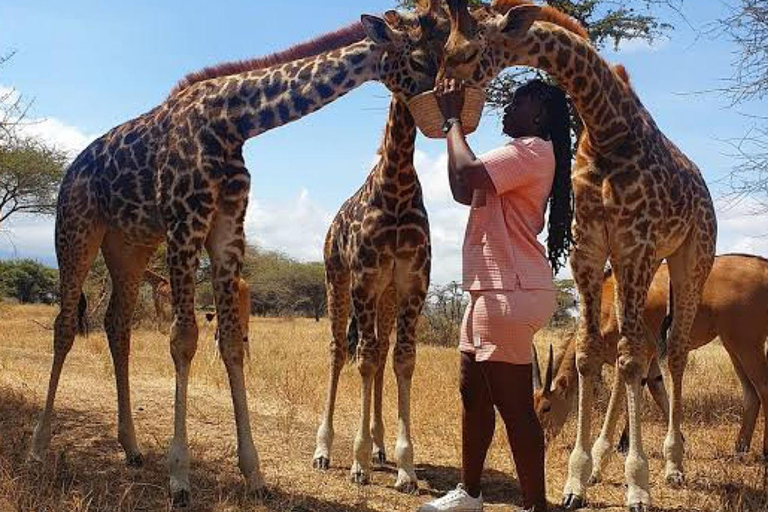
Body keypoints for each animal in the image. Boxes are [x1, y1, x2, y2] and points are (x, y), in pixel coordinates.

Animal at [312, 95, 432, 492]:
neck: (397, 186)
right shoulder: (364, 280)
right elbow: (362, 360)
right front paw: (358, 463)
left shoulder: (412, 284)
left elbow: (403, 361)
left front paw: (405, 468)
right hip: (337, 278)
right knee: (338, 350)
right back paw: (323, 451)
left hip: (387, 296)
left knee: (380, 351)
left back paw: (380, 448)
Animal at [438, 2, 720, 510]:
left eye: (465, 53)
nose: (442, 92)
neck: (607, 127)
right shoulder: (590, 250)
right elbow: (592, 354)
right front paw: (576, 479)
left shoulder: (634, 245)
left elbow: (628, 359)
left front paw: (638, 486)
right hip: (643, 268)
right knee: (637, 350)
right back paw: (607, 459)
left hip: (692, 258)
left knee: (673, 351)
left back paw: (673, 464)